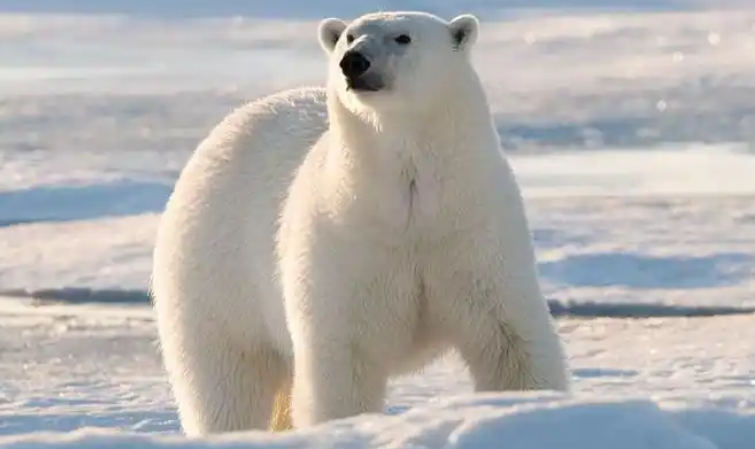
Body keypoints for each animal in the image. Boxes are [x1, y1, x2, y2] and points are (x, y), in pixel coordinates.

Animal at [151, 10, 570, 437]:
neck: (409, 207)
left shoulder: (474, 231)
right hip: (217, 275)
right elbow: (343, 360)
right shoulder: (342, 244)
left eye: (403, 37)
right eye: (349, 36)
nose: (354, 61)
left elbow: (508, 340)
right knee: (227, 381)